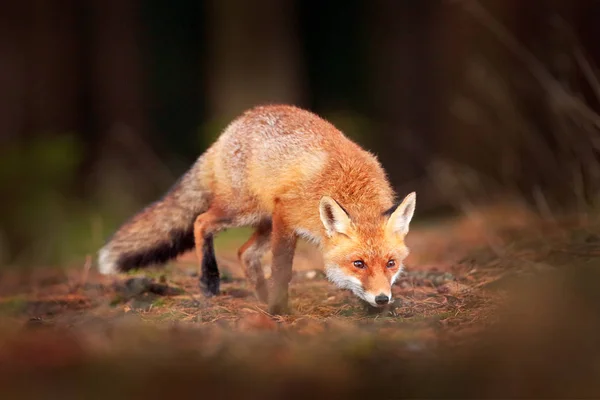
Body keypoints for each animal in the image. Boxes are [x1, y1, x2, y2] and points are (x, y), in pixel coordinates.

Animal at [99, 104, 418, 316]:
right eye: (358, 263)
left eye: (391, 263)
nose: (382, 299)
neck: (349, 186)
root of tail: (233, 126)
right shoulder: (286, 217)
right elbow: (281, 269)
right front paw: (279, 309)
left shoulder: (284, 221)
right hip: (244, 211)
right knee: (201, 222)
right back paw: (209, 281)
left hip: (264, 220)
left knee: (244, 252)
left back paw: (260, 297)